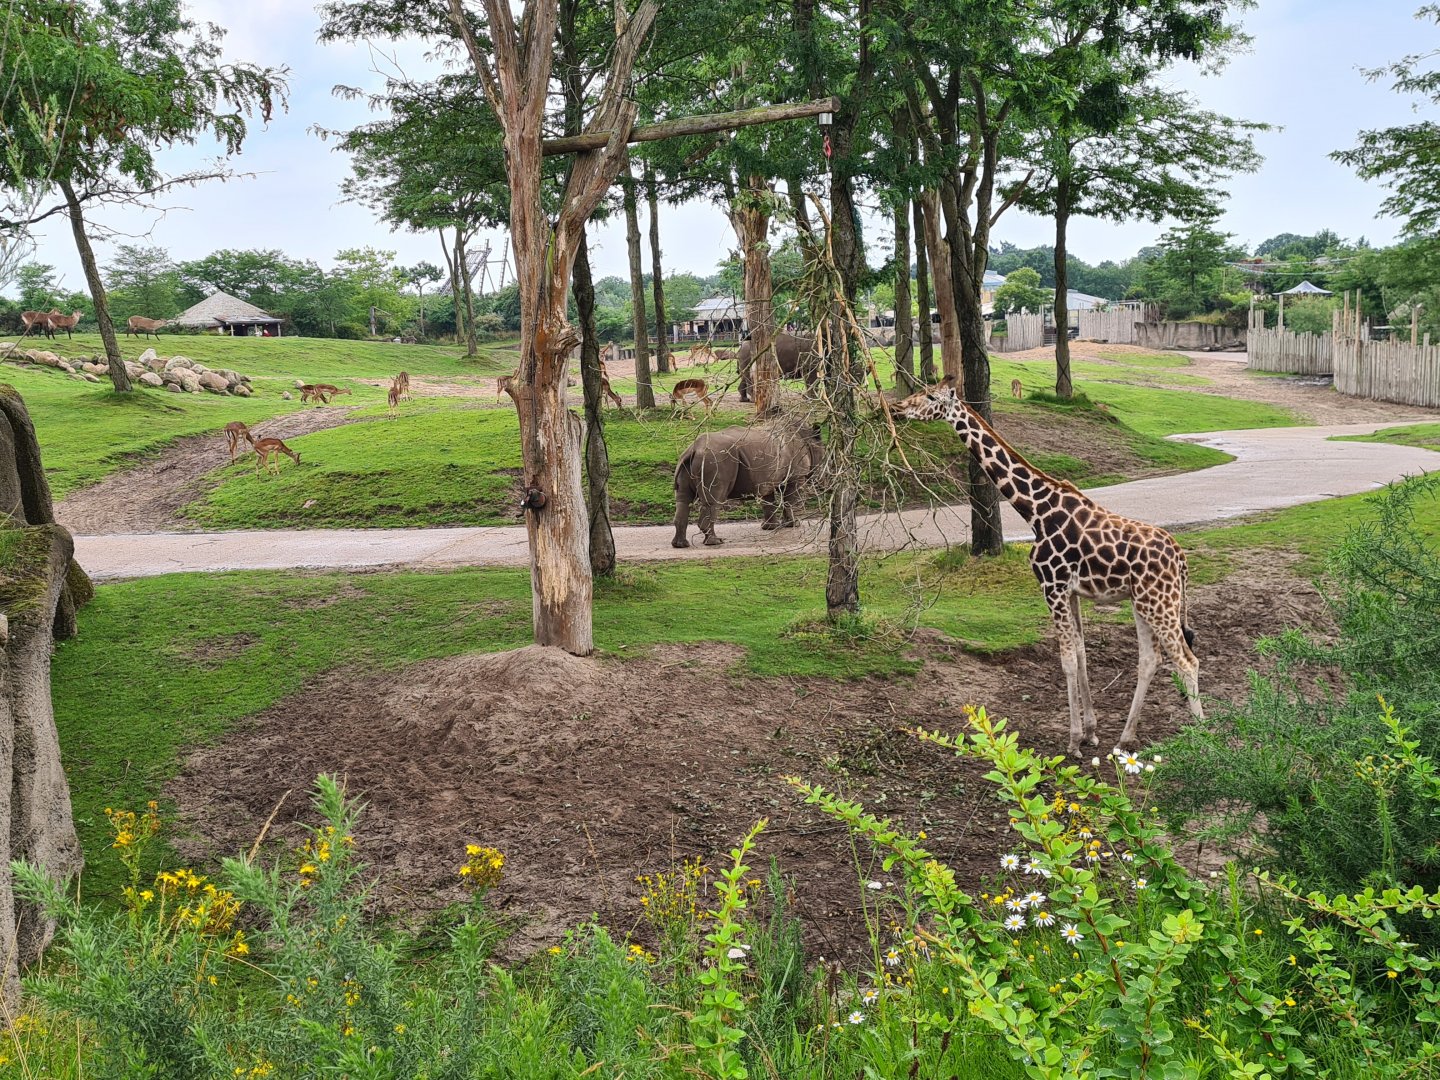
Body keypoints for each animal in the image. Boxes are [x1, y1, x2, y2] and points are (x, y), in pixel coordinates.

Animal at [672, 424, 823, 548]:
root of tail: (694, 449)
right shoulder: (795, 476)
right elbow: (789, 500)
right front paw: (793, 524)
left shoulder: (767, 477)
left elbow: (768, 501)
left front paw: (770, 527)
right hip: (715, 460)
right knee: (714, 500)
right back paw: (716, 542)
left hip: (688, 461)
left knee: (683, 499)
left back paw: (681, 545)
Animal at [892, 377, 1202, 755]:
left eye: (930, 397)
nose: (897, 408)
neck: (1036, 511)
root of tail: (1181, 559)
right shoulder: (1071, 591)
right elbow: (1081, 653)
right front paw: (1092, 732)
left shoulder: (1051, 586)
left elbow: (1066, 658)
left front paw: (1073, 741)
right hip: (1143, 601)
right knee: (1151, 659)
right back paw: (1125, 738)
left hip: (1159, 602)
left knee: (1187, 660)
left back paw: (1205, 734)